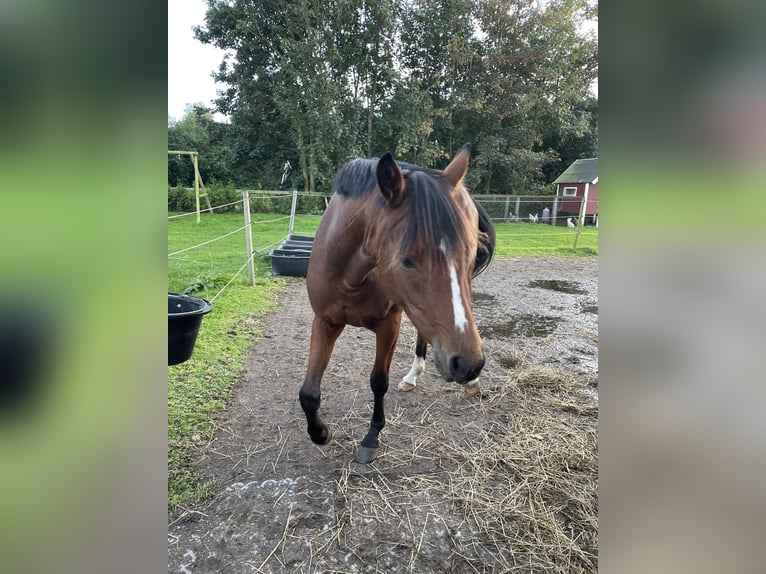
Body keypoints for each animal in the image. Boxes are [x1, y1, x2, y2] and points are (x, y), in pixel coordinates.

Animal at [300, 147, 492, 464]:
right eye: (406, 260)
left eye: (469, 253)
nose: (469, 365)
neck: (350, 274)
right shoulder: (324, 321)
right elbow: (309, 392)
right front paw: (321, 433)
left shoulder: (389, 323)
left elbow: (379, 381)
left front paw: (371, 437)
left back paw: (464, 382)